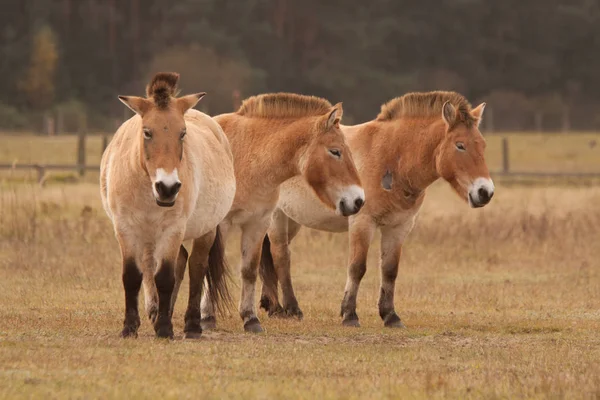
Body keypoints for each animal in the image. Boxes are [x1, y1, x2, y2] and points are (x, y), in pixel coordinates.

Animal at [102, 72, 236, 338]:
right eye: (147, 132)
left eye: (182, 133)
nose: (168, 187)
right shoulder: (125, 229)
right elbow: (132, 276)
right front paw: (130, 327)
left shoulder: (173, 229)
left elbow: (165, 277)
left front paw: (164, 328)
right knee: (179, 262)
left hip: (205, 230)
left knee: (196, 267)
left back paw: (192, 324)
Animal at [188, 93, 366, 332]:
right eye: (335, 151)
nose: (358, 201)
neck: (245, 156)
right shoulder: (221, 225)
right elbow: (211, 269)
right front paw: (207, 317)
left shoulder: (258, 222)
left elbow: (249, 270)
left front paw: (250, 319)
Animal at [260, 91, 494, 328]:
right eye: (460, 145)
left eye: (483, 146)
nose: (485, 192)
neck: (392, 158)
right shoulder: (362, 222)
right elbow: (357, 267)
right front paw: (349, 314)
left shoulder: (399, 226)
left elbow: (390, 270)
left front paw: (390, 315)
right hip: (277, 217)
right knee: (281, 257)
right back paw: (291, 309)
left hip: (292, 219)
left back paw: (274, 308)